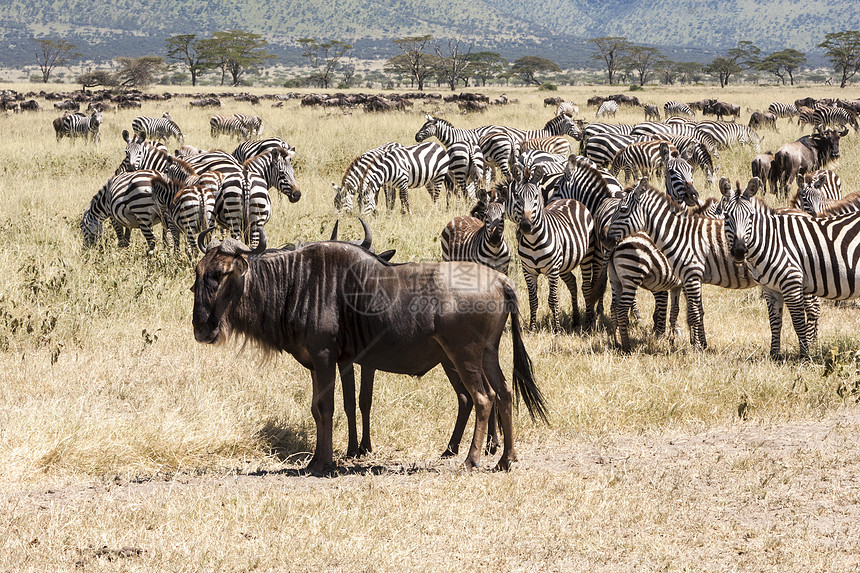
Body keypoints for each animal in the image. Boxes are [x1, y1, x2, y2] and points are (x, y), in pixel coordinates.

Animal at [508, 177, 596, 332]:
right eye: (517, 197)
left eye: (536, 197)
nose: (526, 226)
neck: (533, 243)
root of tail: (572, 199)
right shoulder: (528, 271)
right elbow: (533, 300)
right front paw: (532, 327)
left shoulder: (553, 270)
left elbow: (553, 299)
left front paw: (557, 328)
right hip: (565, 263)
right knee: (572, 282)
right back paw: (576, 319)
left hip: (587, 256)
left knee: (586, 287)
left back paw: (588, 321)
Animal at [720, 180, 860, 358]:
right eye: (726, 216)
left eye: (751, 216)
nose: (739, 251)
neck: (770, 241)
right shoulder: (770, 289)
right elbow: (774, 321)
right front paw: (774, 355)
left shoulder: (791, 282)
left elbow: (798, 322)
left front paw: (805, 355)